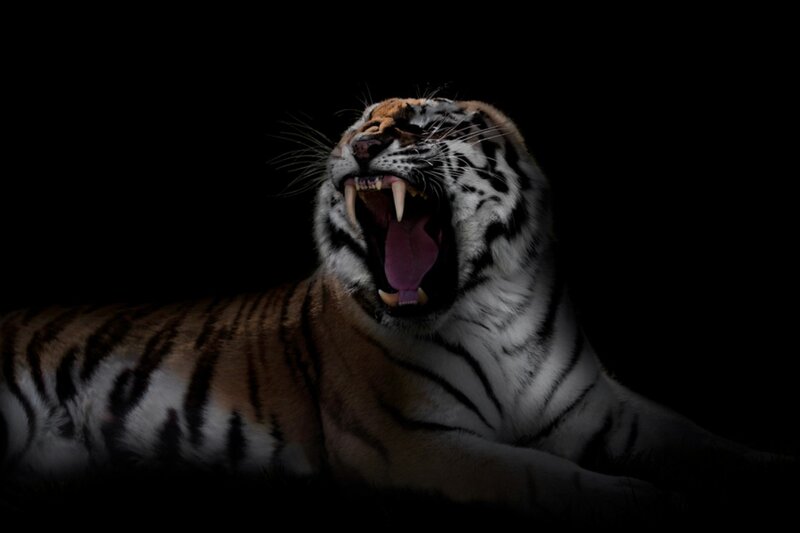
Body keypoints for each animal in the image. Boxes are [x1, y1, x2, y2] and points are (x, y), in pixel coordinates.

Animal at [0, 97, 792, 525]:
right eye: (358, 123)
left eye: (422, 127)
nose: (362, 142)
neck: (494, 308)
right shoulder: (413, 440)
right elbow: (540, 473)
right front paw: (647, 503)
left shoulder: (598, 404)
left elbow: (696, 439)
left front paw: (766, 469)